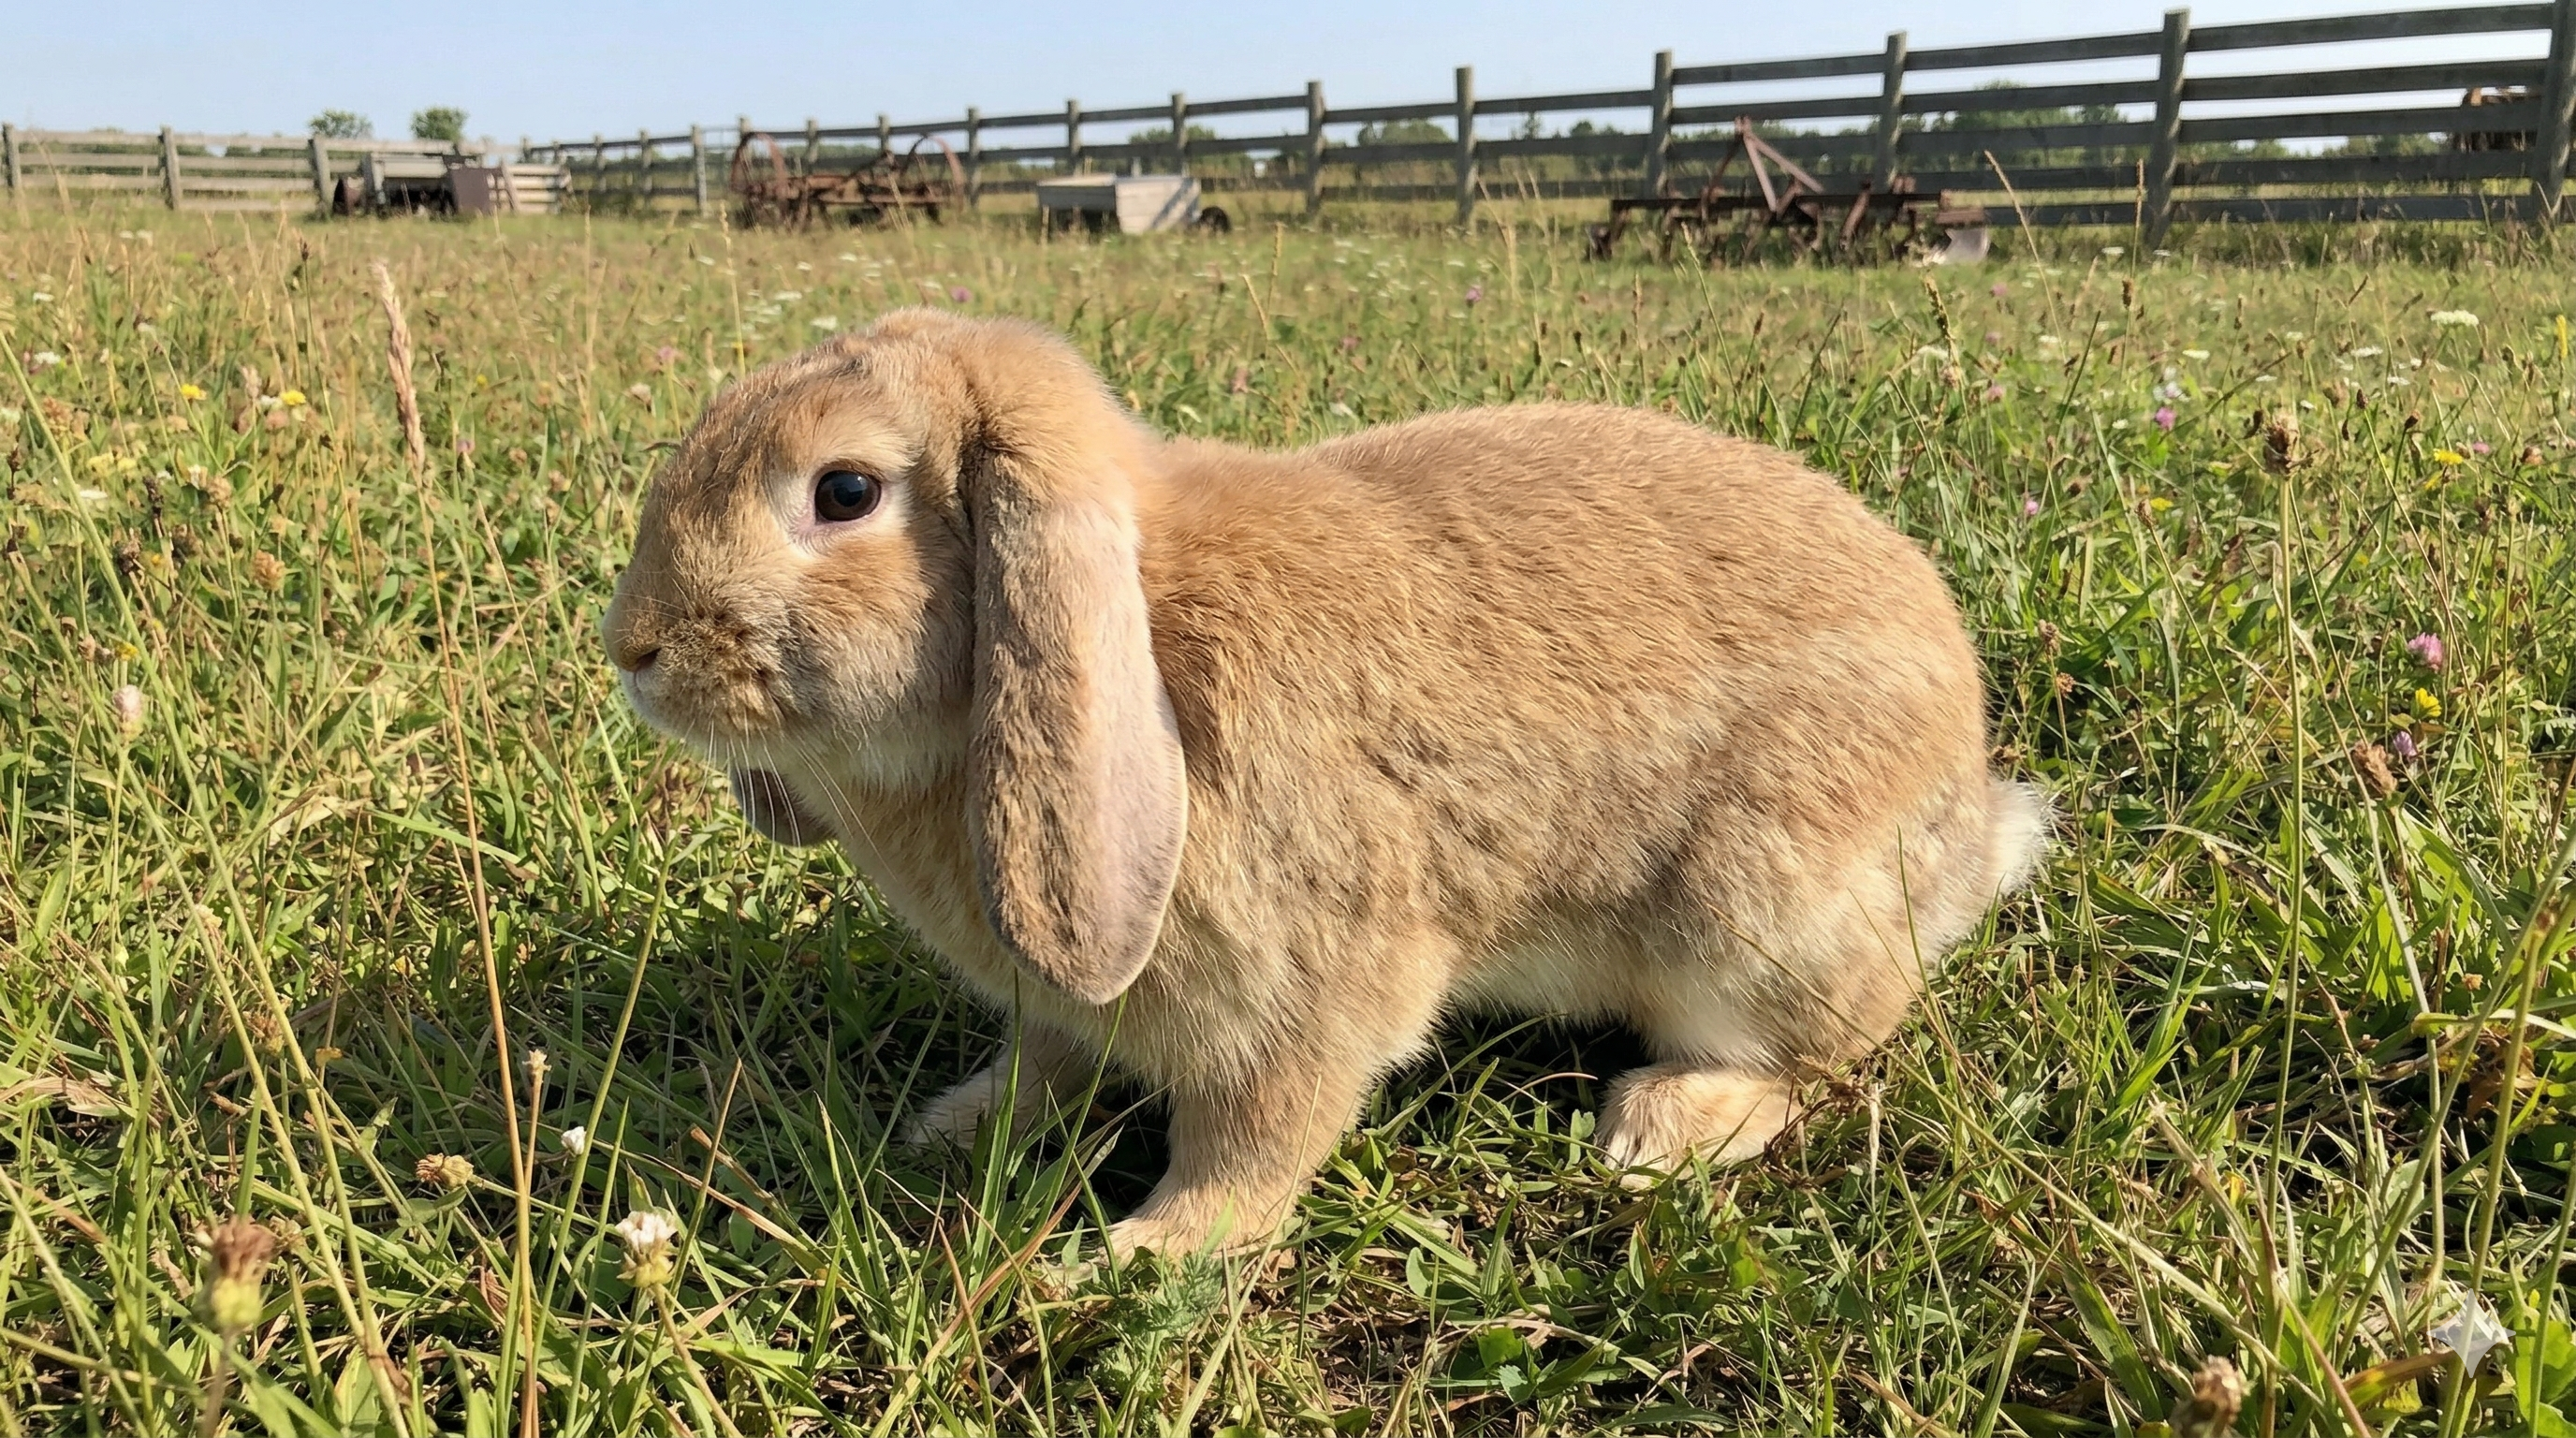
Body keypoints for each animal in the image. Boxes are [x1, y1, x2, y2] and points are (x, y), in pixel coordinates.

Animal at [602, 309, 2048, 1257]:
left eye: (844, 490)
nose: (635, 649)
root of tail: (1970, 821)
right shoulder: (1071, 993)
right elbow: (1047, 1061)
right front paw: (951, 1128)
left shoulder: (1306, 993)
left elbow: (1258, 1135)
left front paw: (1150, 1254)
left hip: (1751, 920)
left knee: (1825, 1055)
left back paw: (1660, 1126)